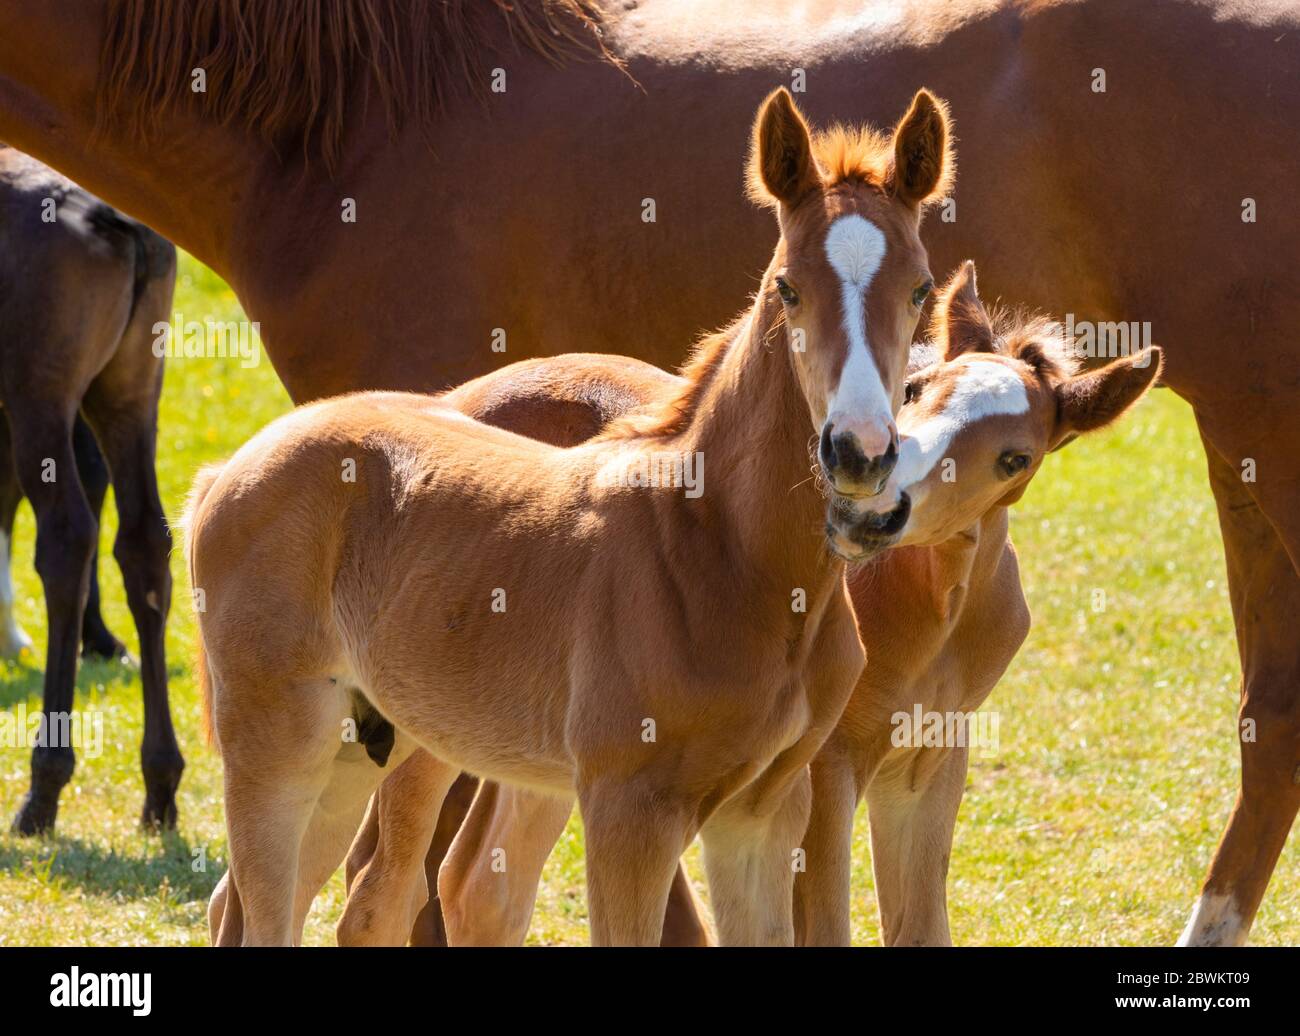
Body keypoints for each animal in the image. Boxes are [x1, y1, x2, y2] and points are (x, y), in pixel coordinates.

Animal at [0, 147, 183, 831]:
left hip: (40, 394)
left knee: (68, 537)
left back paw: (44, 785)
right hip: (129, 392)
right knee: (144, 542)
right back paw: (161, 782)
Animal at [188, 89, 951, 946]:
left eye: (920, 290)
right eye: (787, 287)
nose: (859, 452)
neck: (721, 550)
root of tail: (230, 468)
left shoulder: (761, 815)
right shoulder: (628, 809)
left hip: (358, 750)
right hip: (277, 748)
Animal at [332, 261, 1159, 946]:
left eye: (1016, 459)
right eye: (918, 392)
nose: (874, 509)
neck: (935, 613)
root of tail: (454, 398)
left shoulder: (928, 764)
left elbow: (921, 929)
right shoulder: (825, 769)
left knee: (478, 884)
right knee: (382, 891)